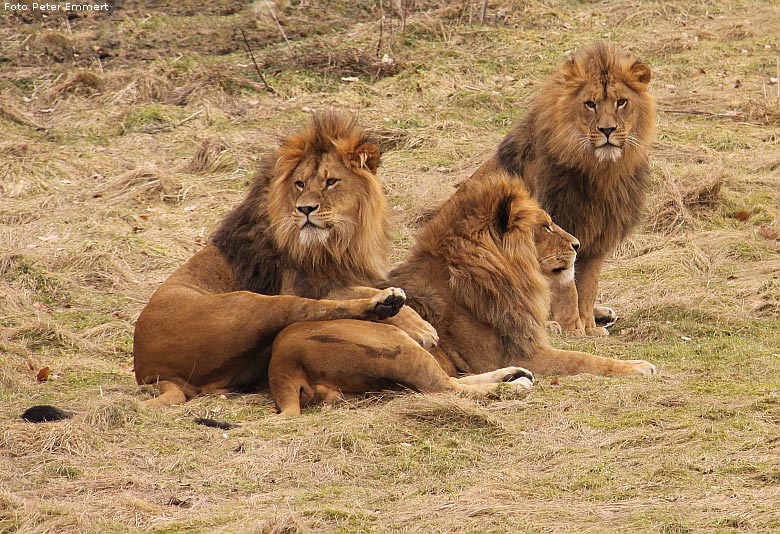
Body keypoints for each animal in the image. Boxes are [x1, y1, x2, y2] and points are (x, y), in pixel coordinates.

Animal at [135, 112, 438, 406]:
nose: (305, 209)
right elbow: (349, 294)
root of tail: (150, 372)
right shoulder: (307, 286)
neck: (340, 241)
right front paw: (420, 326)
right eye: (300, 184)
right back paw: (384, 303)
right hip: (251, 305)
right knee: (315, 309)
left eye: (331, 182)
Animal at [268, 174, 652, 416]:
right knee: (445, 387)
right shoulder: (519, 350)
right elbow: (585, 360)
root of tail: (282, 361)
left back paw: (513, 376)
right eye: (545, 226)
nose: (577, 244)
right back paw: (514, 385)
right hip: (394, 342)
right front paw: (637, 366)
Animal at [470, 42, 660, 338]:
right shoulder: (560, 232)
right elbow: (568, 289)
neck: (601, 173)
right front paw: (576, 329)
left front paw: (590, 326)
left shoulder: (597, 239)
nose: (607, 130)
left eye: (621, 102)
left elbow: (588, 288)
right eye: (590, 104)